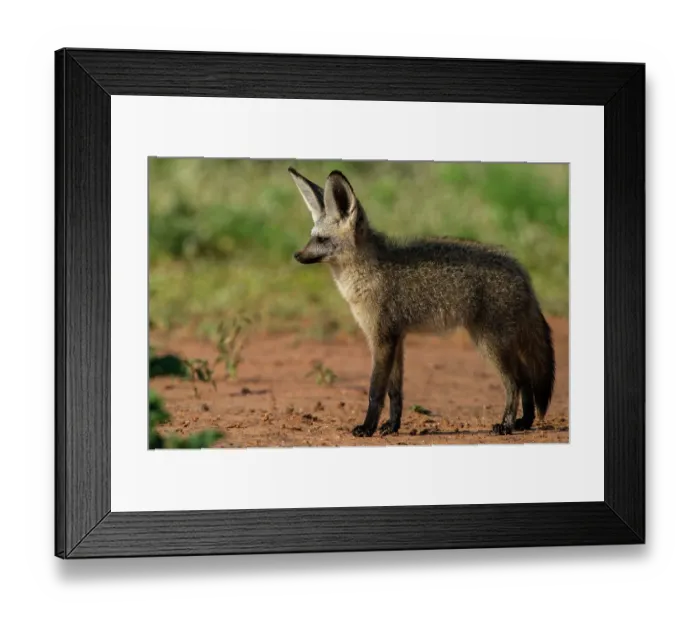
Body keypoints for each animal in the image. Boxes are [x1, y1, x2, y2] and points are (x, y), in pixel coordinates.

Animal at [288, 167, 556, 438]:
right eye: (312, 237)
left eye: (322, 240)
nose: (296, 255)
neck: (368, 275)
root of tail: (519, 268)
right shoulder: (396, 339)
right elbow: (395, 391)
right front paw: (392, 426)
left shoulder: (382, 339)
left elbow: (375, 391)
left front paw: (368, 427)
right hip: (494, 342)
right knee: (525, 377)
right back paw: (525, 421)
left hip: (489, 343)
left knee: (515, 382)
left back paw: (507, 424)